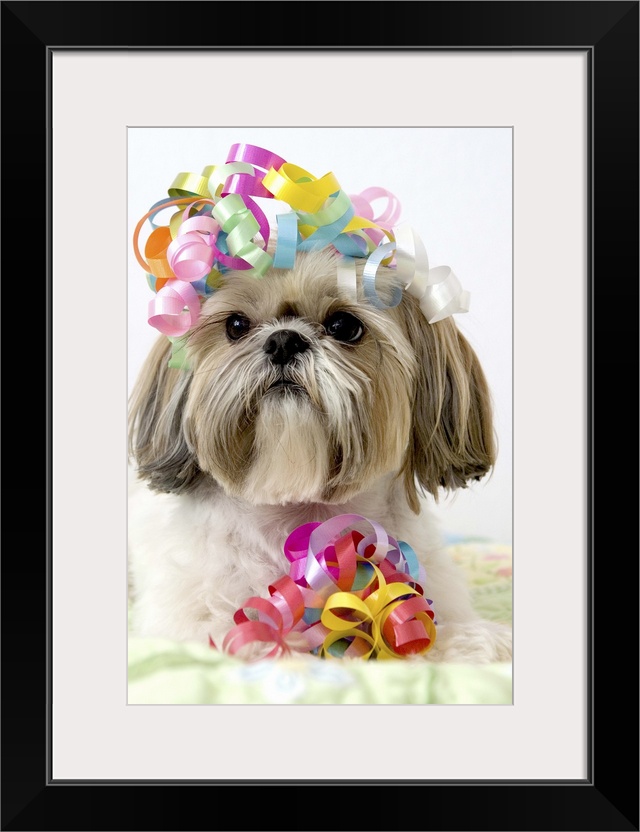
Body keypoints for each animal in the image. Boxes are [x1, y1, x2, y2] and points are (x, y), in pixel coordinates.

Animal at [128, 245, 512, 664]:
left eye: (344, 326)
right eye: (236, 326)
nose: (283, 340)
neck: (303, 518)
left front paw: (477, 642)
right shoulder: (198, 622)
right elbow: (258, 642)